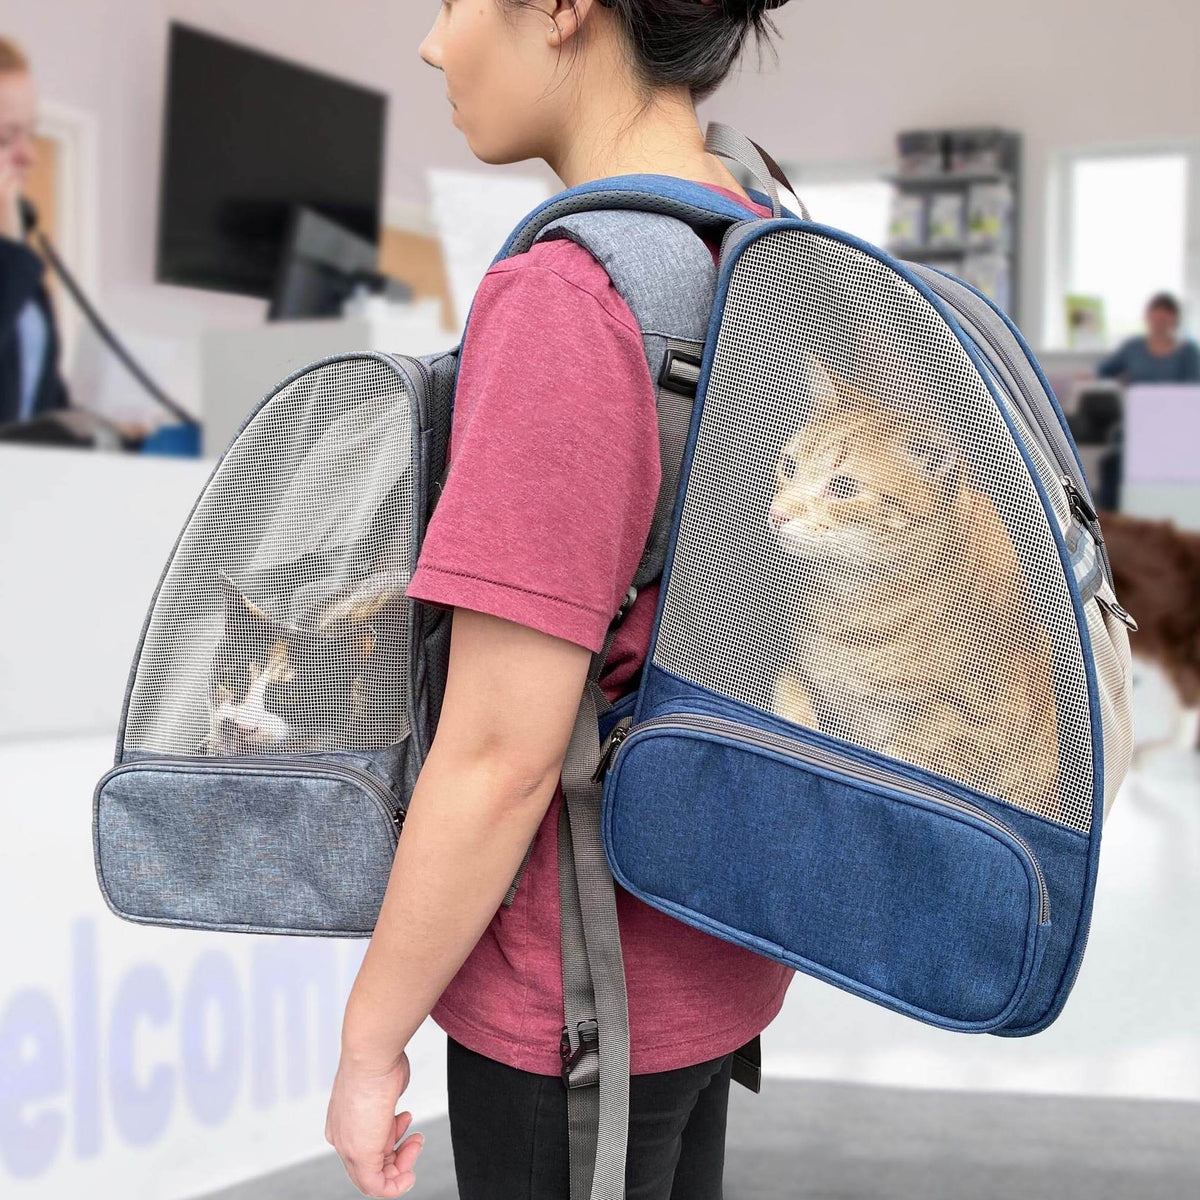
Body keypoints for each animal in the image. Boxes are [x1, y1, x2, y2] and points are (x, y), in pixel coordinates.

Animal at [768, 369, 1060, 820]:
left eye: (843, 487)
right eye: (790, 466)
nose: (778, 514)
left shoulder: (934, 739)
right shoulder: (797, 677)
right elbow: (793, 707)